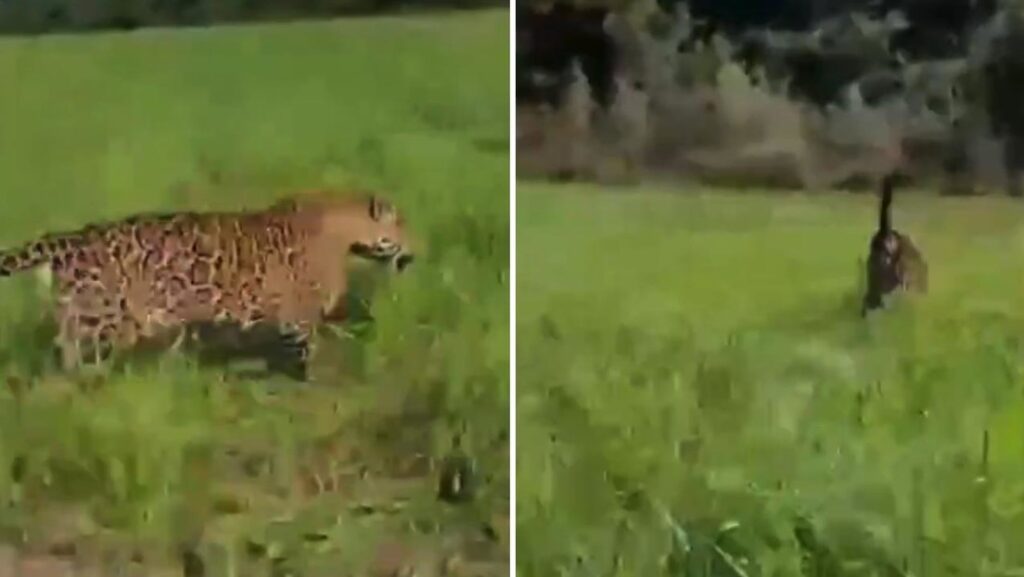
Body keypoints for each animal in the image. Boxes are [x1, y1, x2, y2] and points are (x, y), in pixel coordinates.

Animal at [0, 191, 414, 380]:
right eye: (402, 226)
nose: (413, 252)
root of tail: (72, 239)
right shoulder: (300, 317)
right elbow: (309, 351)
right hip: (102, 320)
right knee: (72, 355)